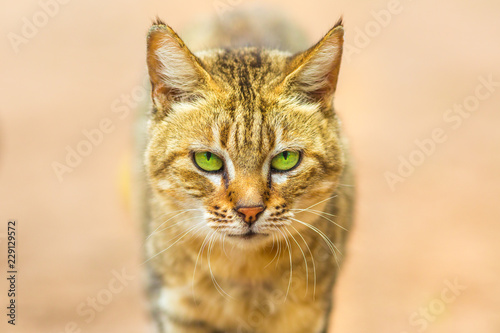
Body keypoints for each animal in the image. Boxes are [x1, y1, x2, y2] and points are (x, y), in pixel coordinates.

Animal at [139, 7, 354, 332]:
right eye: (208, 159)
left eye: (286, 158)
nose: (250, 210)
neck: (244, 276)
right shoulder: (176, 311)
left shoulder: (312, 312)